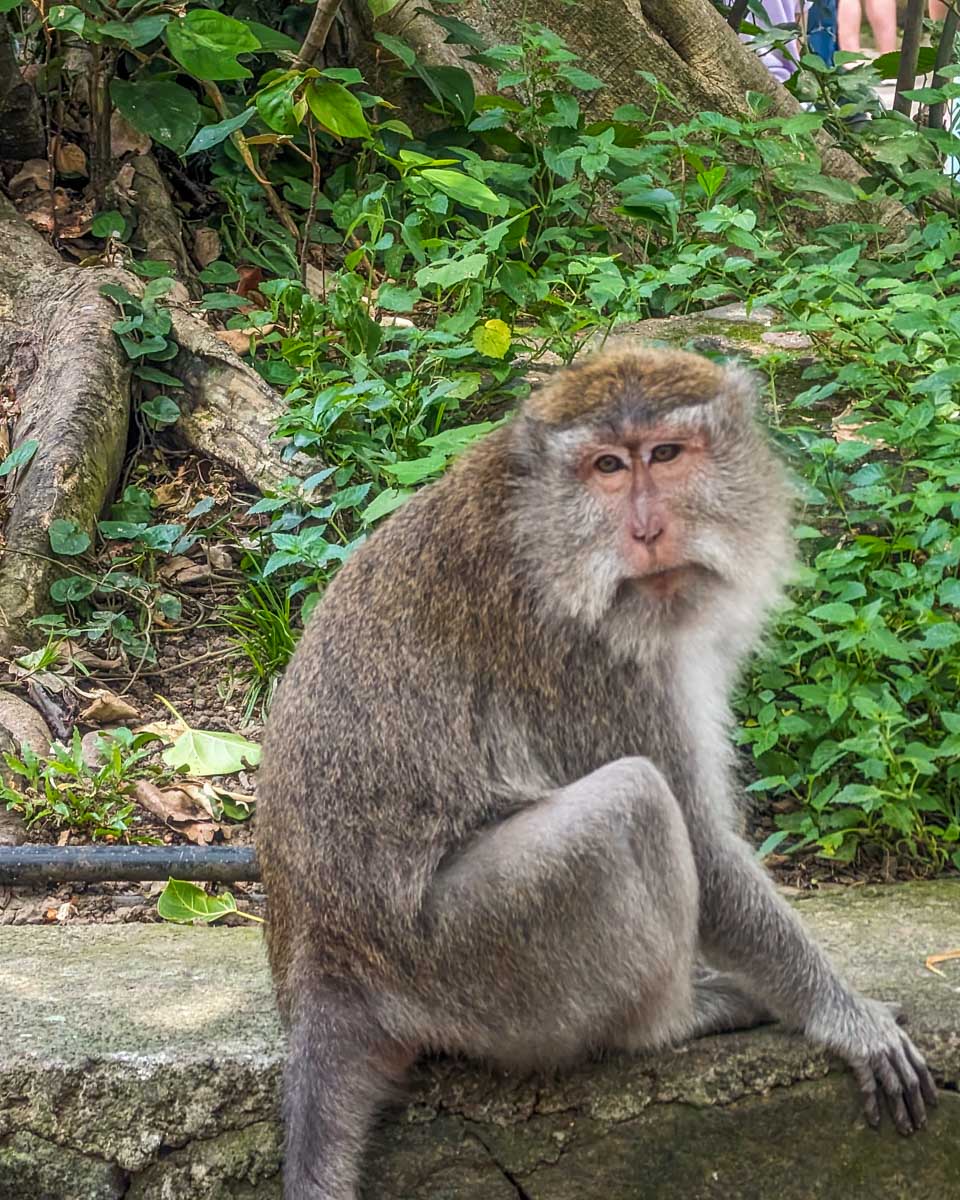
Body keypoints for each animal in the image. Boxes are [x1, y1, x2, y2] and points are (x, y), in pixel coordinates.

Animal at [256, 346, 937, 1200]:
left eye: (667, 455)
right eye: (609, 466)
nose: (646, 530)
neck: (548, 527)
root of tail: (323, 975)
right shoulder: (588, 660)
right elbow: (704, 852)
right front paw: (842, 1015)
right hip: (466, 960)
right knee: (631, 802)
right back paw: (669, 1022)